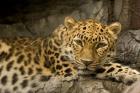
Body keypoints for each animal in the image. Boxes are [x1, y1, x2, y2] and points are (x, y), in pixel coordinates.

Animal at [0, 16, 139, 92]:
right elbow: (108, 65)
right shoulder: (71, 70)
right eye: (78, 42)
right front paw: (134, 74)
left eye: (100, 45)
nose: (86, 62)